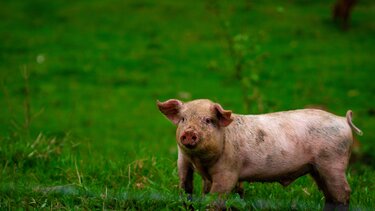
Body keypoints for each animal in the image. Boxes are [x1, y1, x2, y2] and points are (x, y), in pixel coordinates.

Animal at [157, 99, 362, 211]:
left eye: (208, 120)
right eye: (183, 119)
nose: (189, 133)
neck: (200, 161)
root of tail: (342, 120)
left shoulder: (228, 171)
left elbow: (215, 197)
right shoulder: (183, 161)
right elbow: (186, 188)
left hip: (333, 162)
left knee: (343, 193)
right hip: (317, 168)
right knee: (330, 195)